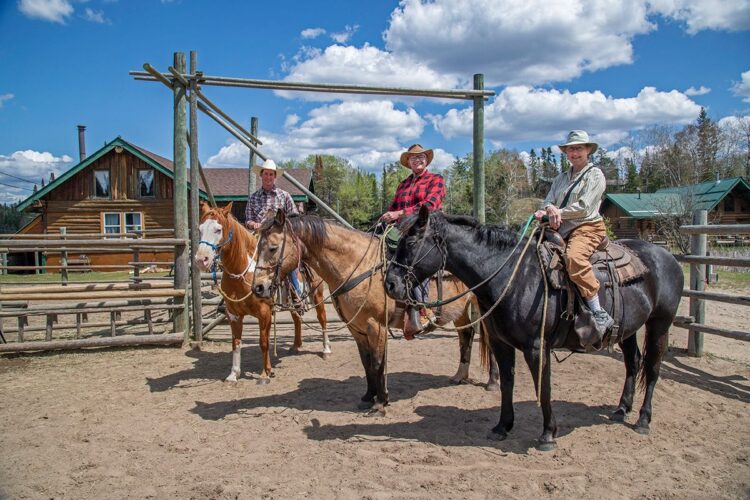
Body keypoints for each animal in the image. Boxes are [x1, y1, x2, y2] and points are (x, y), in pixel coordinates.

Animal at [194, 203, 328, 382]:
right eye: (200, 229)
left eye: (218, 229)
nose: (201, 260)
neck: (243, 271)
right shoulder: (233, 315)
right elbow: (236, 343)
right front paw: (233, 374)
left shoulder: (264, 312)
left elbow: (263, 342)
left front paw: (265, 372)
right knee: (296, 319)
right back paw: (296, 345)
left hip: (317, 294)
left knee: (322, 318)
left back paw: (326, 349)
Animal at [253, 211, 500, 414]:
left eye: (272, 247)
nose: (258, 287)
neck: (358, 266)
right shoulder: (357, 329)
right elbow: (366, 363)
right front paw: (368, 397)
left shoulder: (376, 326)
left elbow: (378, 363)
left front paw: (381, 403)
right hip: (460, 311)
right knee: (466, 337)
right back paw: (459, 376)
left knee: (489, 343)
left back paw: (492, 382)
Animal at [388, 206, 688, 450]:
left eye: (411, 241)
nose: (390, 283)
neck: (513, 276)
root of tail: (666, 255)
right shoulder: (501, 343)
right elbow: (507, 383)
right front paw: (502, 426)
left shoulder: (536, 346)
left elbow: (543, 387)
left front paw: (547, 435)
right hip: (627, 329)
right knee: (632, 362)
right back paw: (621, 409)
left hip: (660, 324)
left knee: (652, 368)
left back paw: (643, 420)